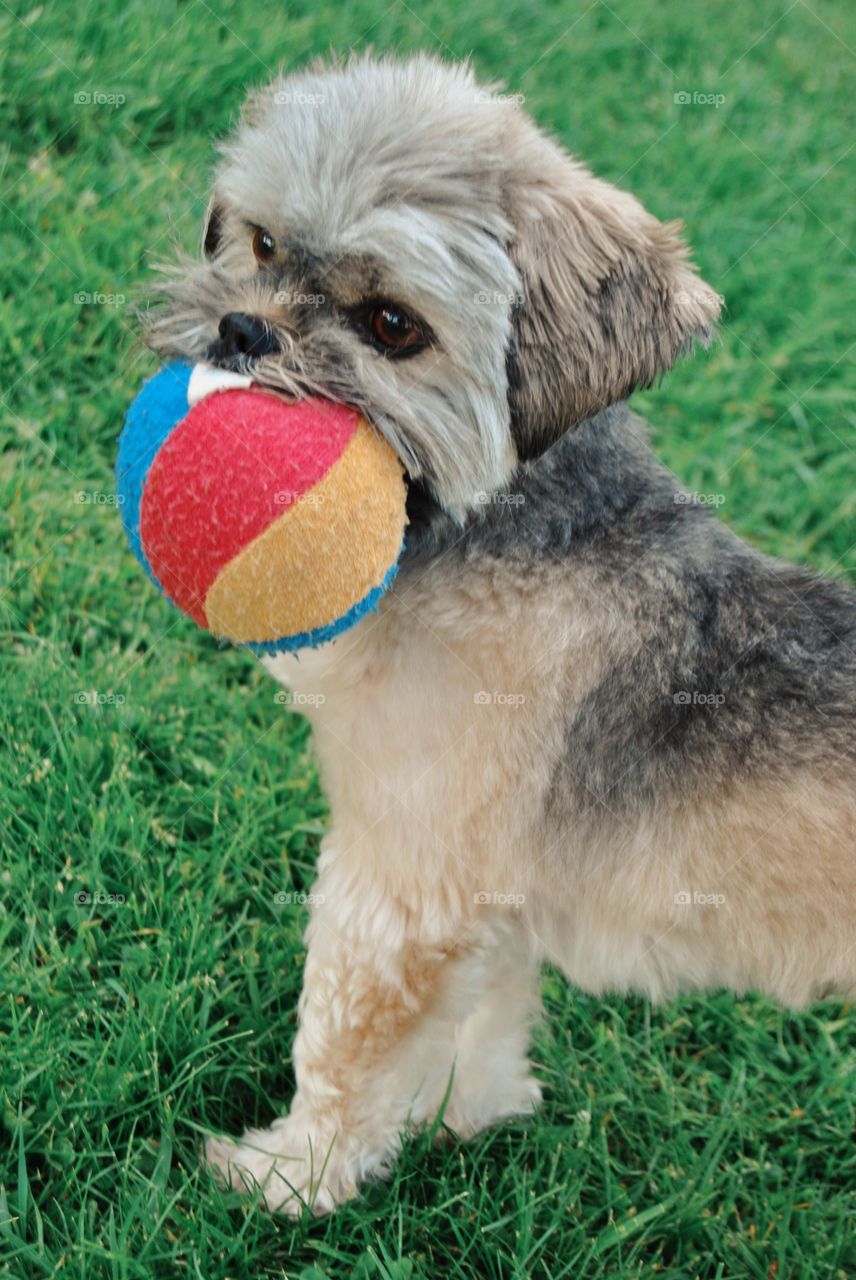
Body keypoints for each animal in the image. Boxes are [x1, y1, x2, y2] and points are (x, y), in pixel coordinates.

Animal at [147, 49, 854, 1208]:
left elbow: (339, 1042)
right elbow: (483, 1016)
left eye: (393, 326)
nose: (244, 330)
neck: (498, 532)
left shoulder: (400, 882)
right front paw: (460, 1114)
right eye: (261, 244)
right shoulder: (484, 888)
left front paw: (293, 1174)